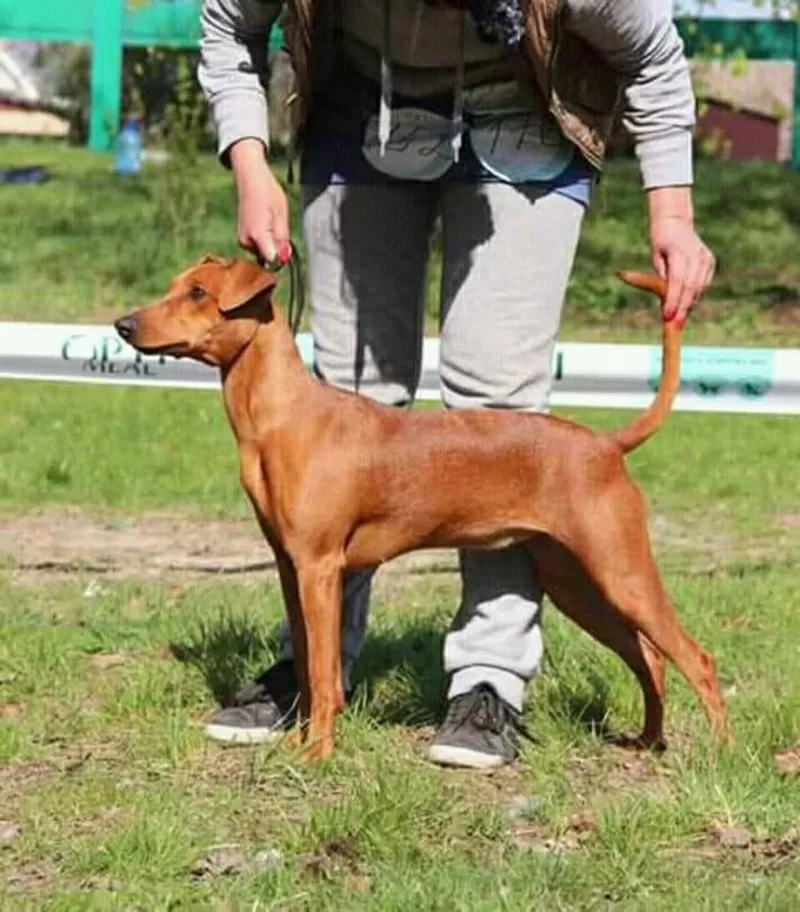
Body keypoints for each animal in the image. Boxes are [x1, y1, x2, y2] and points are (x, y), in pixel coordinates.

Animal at [114, 256, 732, 764]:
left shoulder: (321, 567)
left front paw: (317, 755)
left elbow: (325, 676)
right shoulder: (291, 569)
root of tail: (605, 445)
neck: (280, 418)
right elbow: (310, 674)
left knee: (696, 659)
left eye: (198, 292)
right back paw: (648, 742)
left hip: (621, 571)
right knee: (650, 658)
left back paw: (719, 755)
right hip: (577, 584)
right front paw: (298, 741)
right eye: (174, 286)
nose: (123, 325)